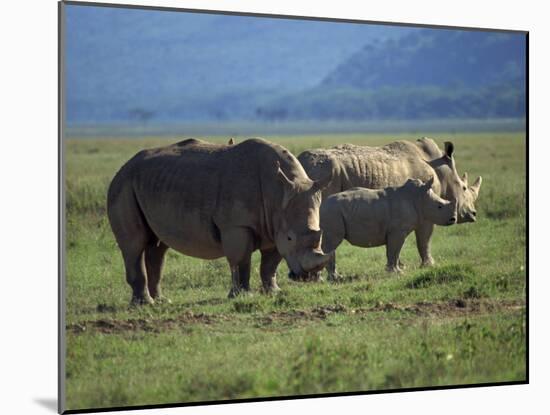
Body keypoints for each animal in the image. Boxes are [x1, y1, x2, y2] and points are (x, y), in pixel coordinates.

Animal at [108, 138, 332, 304]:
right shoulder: (236, 225)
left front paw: (273, 292)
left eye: (320, 235)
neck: (277, 192)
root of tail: (124, 167)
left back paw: (162, 301)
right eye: (290, 238)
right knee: (134, 244)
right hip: (123, 185)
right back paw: (145, 304)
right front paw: (242, 296)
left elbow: (270, 263)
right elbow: (240, 259)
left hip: (151, 183)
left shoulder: (274, 226)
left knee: (158, 246)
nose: (308, 277)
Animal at [322, 176, 460, 280]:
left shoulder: (395, 231)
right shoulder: (398, 231)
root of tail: (323, 204)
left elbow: (394, 251)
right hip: (332, 211)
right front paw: (396, 272)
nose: (453, 219)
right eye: (439, 206)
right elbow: (395, 250)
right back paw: (335, 278)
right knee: (332, 243)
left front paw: (394, 271)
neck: (418, 197)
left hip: (333, 211)